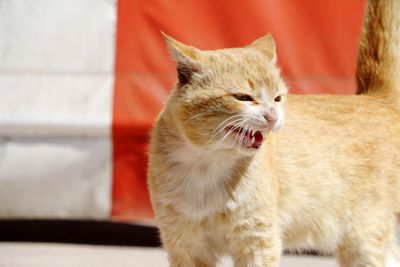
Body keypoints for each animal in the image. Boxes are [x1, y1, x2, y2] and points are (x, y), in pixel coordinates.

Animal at [147, 0, 400, 266]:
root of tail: (374, 98)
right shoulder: (185, 244)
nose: (272, 115)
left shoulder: (257, 240)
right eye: (243, 97)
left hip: (364, 239)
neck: (207, 163)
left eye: (278, 98)